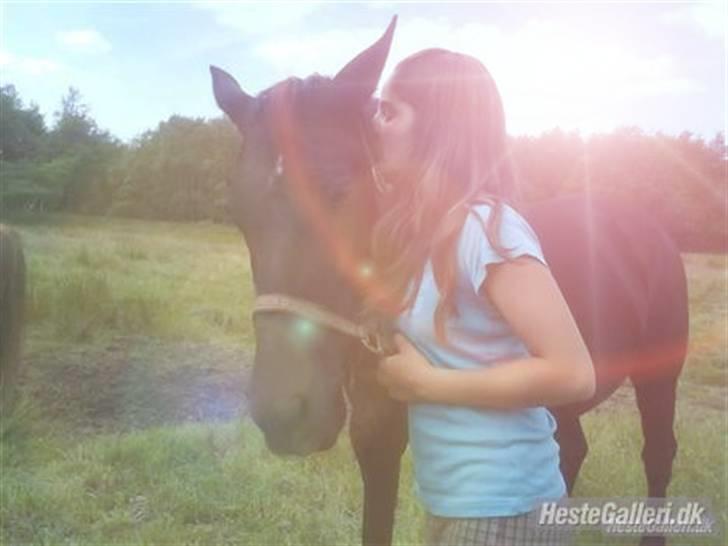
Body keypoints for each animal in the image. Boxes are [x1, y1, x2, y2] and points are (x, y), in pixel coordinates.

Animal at [209, 18, 688, 544]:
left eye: (338, 192)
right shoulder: (371, 432)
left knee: (658, 453)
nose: (284, 416)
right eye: (237, 209)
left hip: (660, 373)